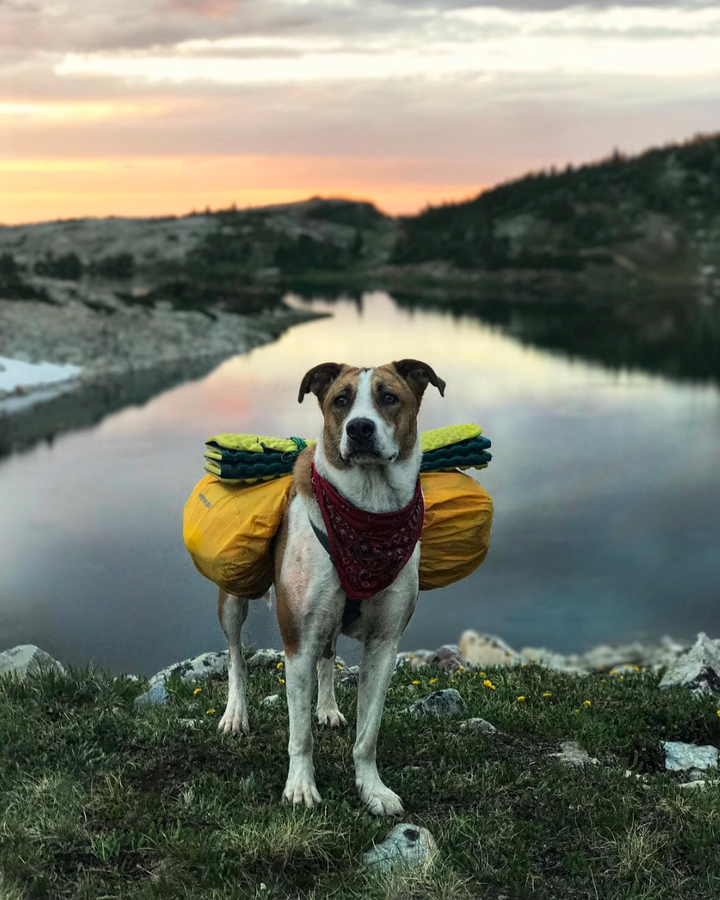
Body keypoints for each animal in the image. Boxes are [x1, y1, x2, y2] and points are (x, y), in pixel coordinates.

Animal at [217, 358, 448, 816]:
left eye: (389, 397)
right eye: (341, 400)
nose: (359, 428)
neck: (367, 514)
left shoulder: (384, 644)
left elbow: (368, 735)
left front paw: (372, 789)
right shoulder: (297, 640)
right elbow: (300, 734)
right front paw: (300, 787)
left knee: (328, 655)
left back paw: (327, 708)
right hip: (234, 597)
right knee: (235, 656)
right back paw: (236, 715)